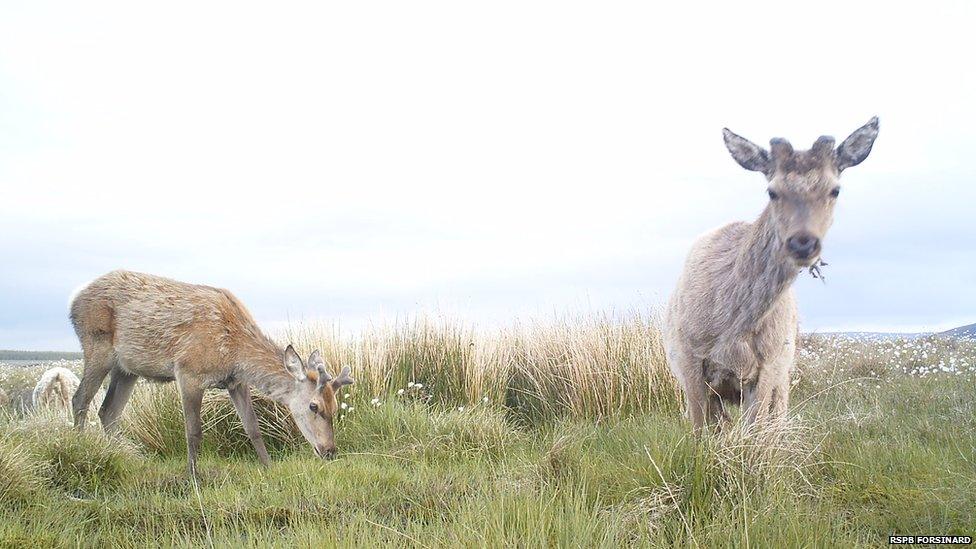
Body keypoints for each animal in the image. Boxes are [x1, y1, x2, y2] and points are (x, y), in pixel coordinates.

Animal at [68, 270, 352, 476]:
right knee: (80, 399)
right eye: (314, 406)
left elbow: (253, 427)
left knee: (109, 411)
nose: (330, 451)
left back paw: (131, 461)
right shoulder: (188, 372)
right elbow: (194, 431)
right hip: (97, 345)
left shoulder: (236, 382)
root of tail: (74, 299)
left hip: (128, 368)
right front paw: (193, 476)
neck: (235, 353)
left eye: (335, 406)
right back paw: (81, 450)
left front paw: (268, 467)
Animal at [664, 116, 884, 432]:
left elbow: (753, 430)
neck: (731, 330)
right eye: (772, 191)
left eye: (835, 189)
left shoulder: (769, 363)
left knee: (777, 415)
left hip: (786, 367)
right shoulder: (687, 358)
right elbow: (699, 430)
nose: (802, 243)